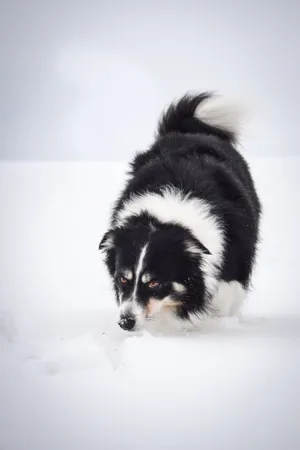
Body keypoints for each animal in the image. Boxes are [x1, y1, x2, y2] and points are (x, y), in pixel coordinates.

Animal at [99, 91, 262, 332]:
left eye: (154, 282)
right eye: (123, 279)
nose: (126, 323)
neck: (168, 213)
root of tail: (190, 131)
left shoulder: (232, 271)